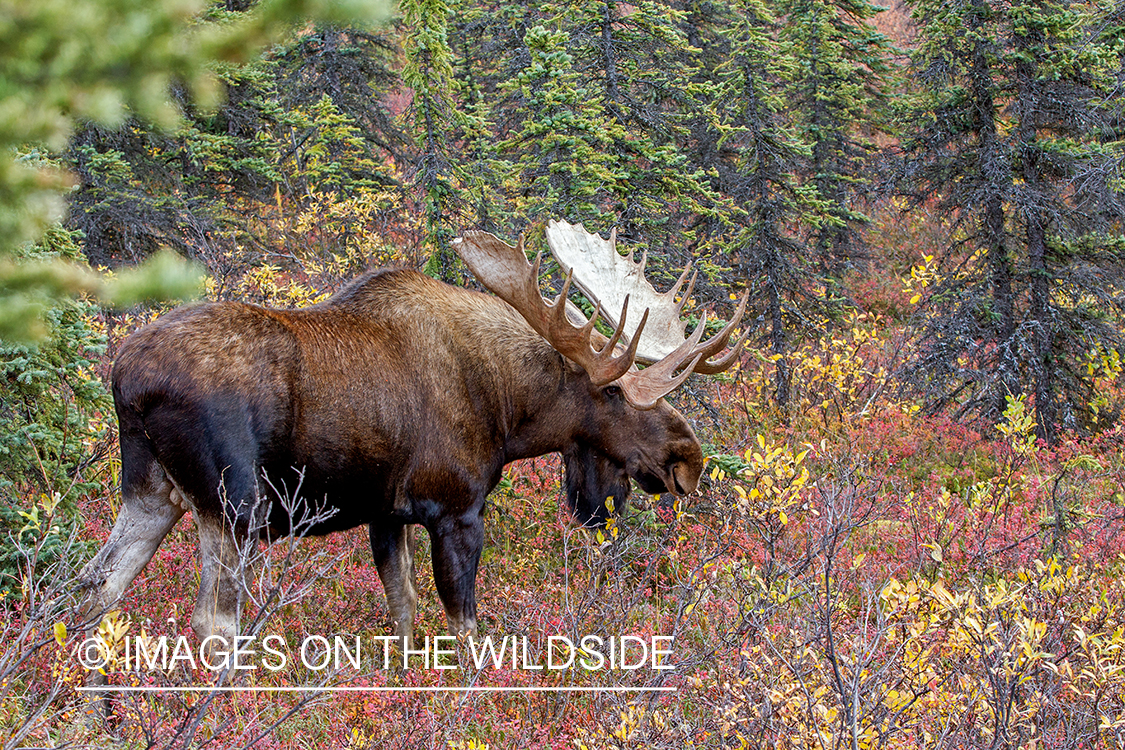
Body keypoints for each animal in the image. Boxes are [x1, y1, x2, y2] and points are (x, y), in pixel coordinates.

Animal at [79, 220, 747, 652]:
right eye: (616, 394)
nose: (688, 458)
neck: (509, 411)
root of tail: (126, 377)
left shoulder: (386, 514)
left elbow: (405, 614)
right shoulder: (455, 509)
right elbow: (465, 631)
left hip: (149, 493)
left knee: (95, 590)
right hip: (233, 506)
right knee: (214, 624)